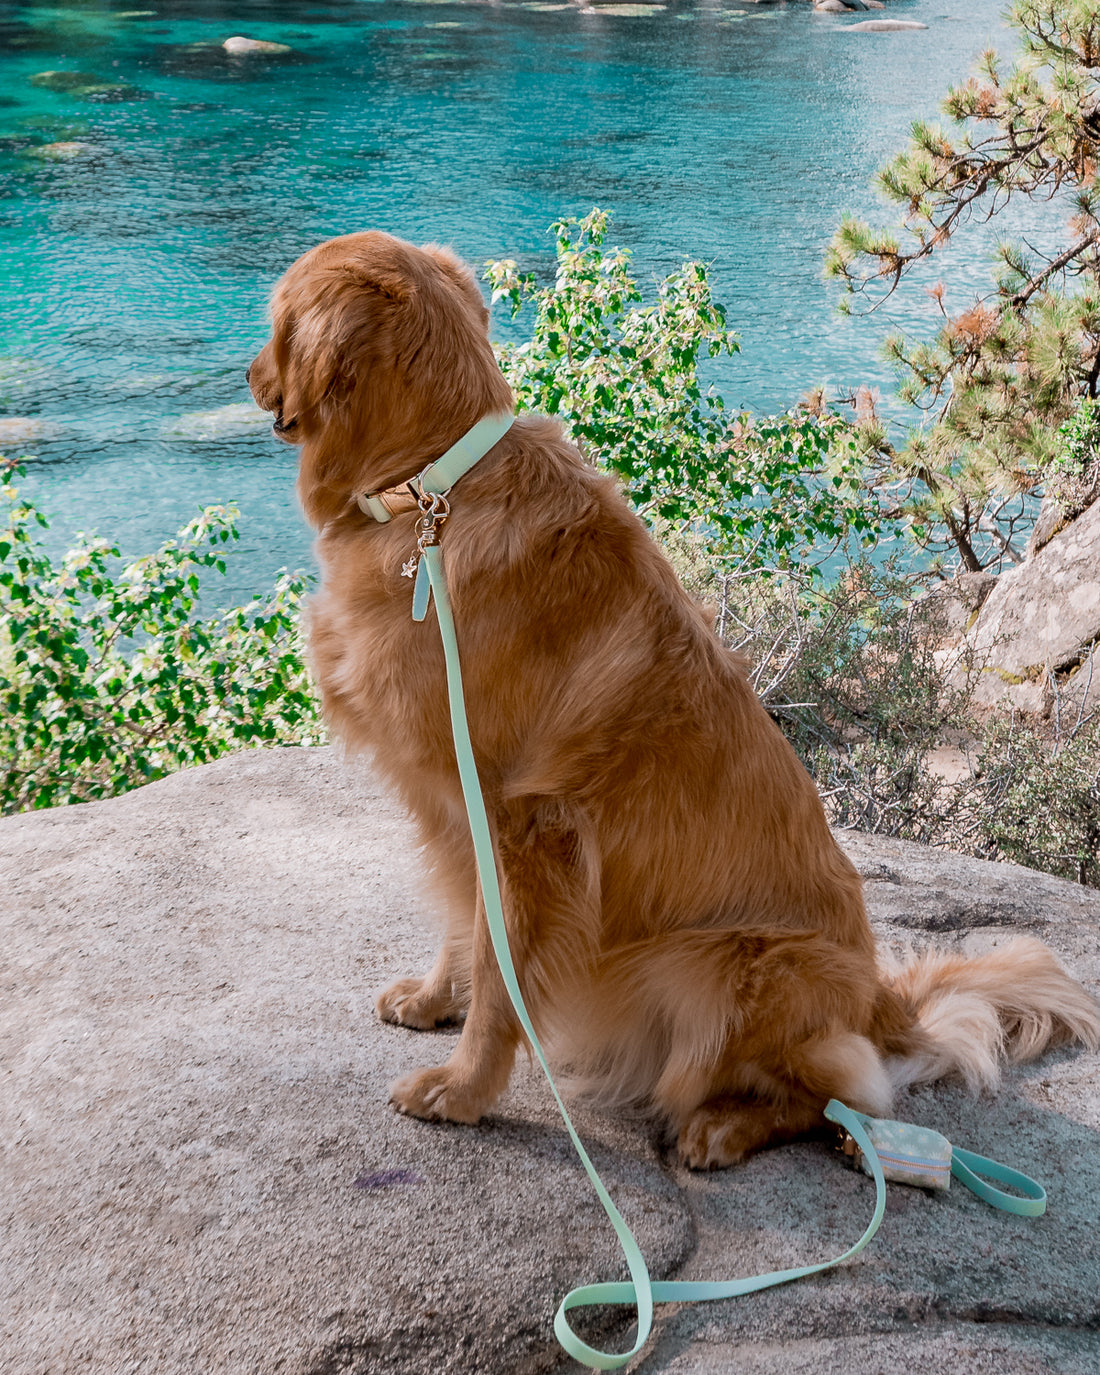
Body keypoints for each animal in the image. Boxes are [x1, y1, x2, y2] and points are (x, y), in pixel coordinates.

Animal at [248, 231, 1100, 1166]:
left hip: (714, 963)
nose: (250, 375)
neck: (432, 486)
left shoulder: (528, 829)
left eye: (274, 321)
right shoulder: (457, 810)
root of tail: (887, 1006)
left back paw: (725, 1126)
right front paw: (438, 1001)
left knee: (838, 1095)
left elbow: (503, 977)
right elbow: (461, 929)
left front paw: (463, 1090)